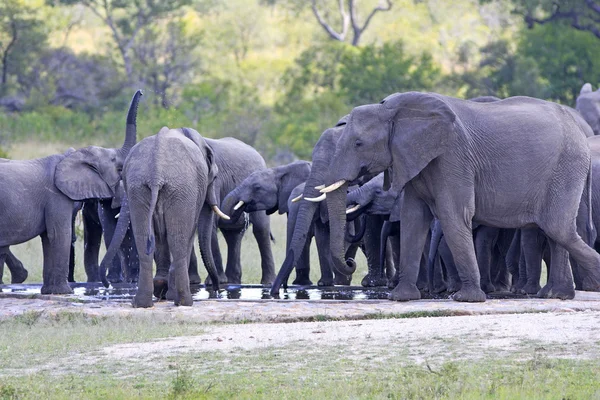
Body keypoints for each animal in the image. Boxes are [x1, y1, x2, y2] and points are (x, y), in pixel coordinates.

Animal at [0, 90, 142, 294]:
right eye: (119, 168)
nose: (141, 92)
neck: (74, 156)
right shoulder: (56, 196)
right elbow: (59, 235)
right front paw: (65, 292)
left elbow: (48, 238)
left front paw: (50, 292)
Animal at [117, 126, 220, 308]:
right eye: (214, 177)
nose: (217, 290)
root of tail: (156, 171)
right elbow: (188, 232)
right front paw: (168, 294)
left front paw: (162, 290)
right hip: (181, 189)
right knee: (178, 239)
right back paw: (184, 301)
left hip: (138, 188)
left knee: (144, 239)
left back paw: (141, 303)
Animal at [316, 91, 600, 304]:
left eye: (358, 144)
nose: (351, 263)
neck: (392, 109)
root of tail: (582, 136)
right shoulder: (416, 158)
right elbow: (412, 219)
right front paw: (401, 297)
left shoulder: (452, 156)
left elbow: (453, 215)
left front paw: (466, 298)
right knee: (557, 230)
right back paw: (556, 295)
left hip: (565, 168)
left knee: (557, 227)